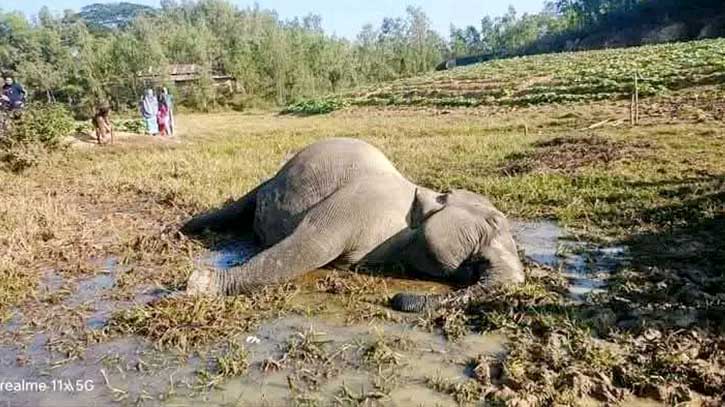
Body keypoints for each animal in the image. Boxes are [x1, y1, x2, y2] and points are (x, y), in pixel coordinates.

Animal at [180, 137, 520, 312]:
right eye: (494, 222)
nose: (394, 299)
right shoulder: (359, 204)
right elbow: (311, 247)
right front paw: (199, 285)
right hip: (269, 184)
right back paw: (184, 229)